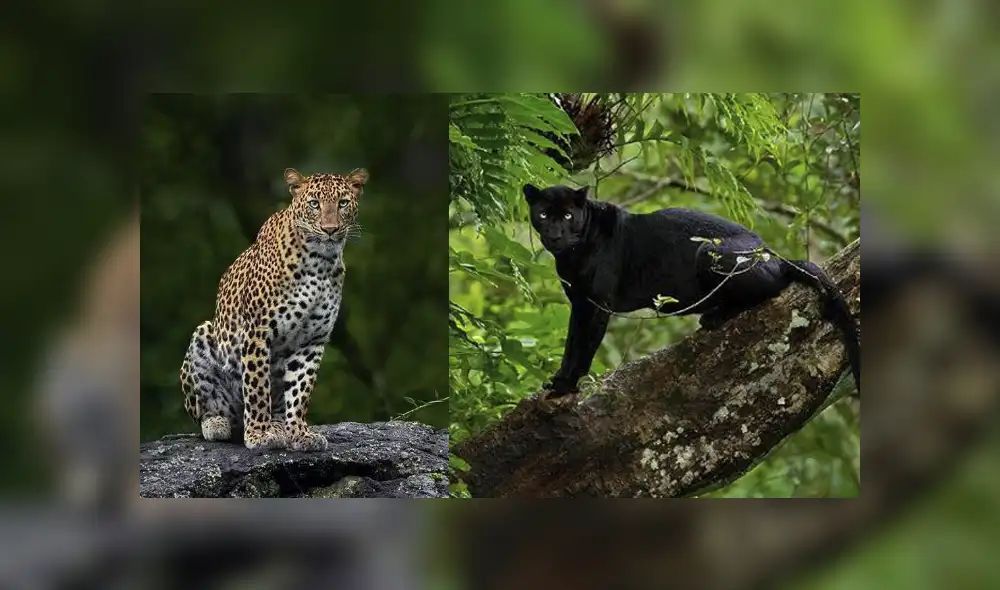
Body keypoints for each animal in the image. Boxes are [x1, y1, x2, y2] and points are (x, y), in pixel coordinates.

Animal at [180, 167, 367, 451]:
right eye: (314, 204)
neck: (320, 262)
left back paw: (279, 426)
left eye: (343, 203)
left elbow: (300, 391)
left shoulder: (311, 342)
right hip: (203, 336)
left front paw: (300, 433)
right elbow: (257, 387)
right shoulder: (257, 333)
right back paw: (218, 424)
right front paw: (259, 434)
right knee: (209, 410)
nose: (330, 229)